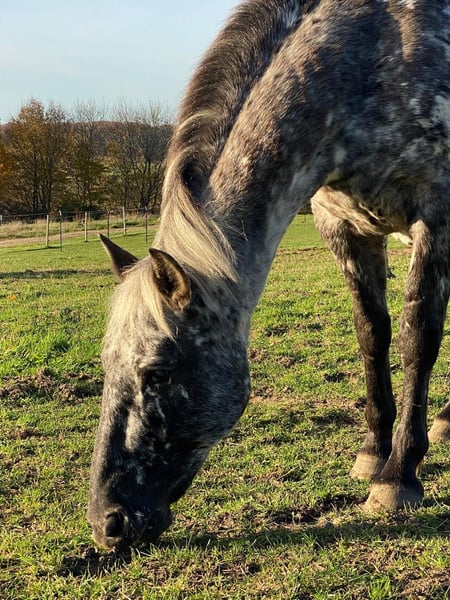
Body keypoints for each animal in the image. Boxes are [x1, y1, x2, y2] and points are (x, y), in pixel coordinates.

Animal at [88, 0, 450, 549]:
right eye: (107, 364)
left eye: (158, 373)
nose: (107, 522)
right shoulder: (342, 226)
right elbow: (372, 335)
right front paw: (373, 452)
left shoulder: (437, 216)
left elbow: (417, 341)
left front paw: (399, 475)